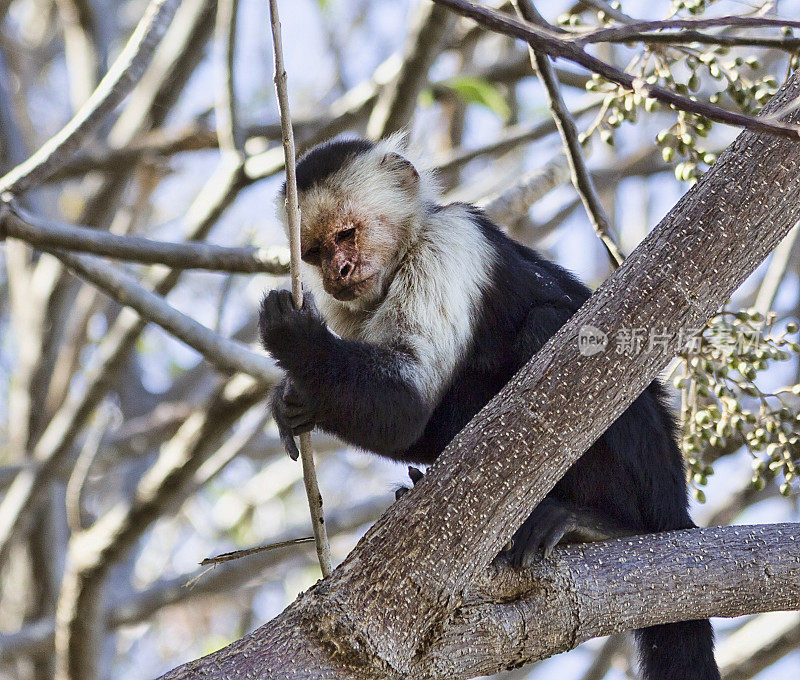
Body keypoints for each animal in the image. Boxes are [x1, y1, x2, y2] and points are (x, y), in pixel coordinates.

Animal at [260, 134, 720, 680]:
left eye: (346, 235)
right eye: (313, 252)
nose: (339, 272)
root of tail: (677, 506)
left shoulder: (449, 246)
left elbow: (406, 406)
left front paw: (294, 337)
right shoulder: (349, 309)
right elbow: (414, 419)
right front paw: (295, 400)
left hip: (651, 473)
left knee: (550, 326)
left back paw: (597, 525)